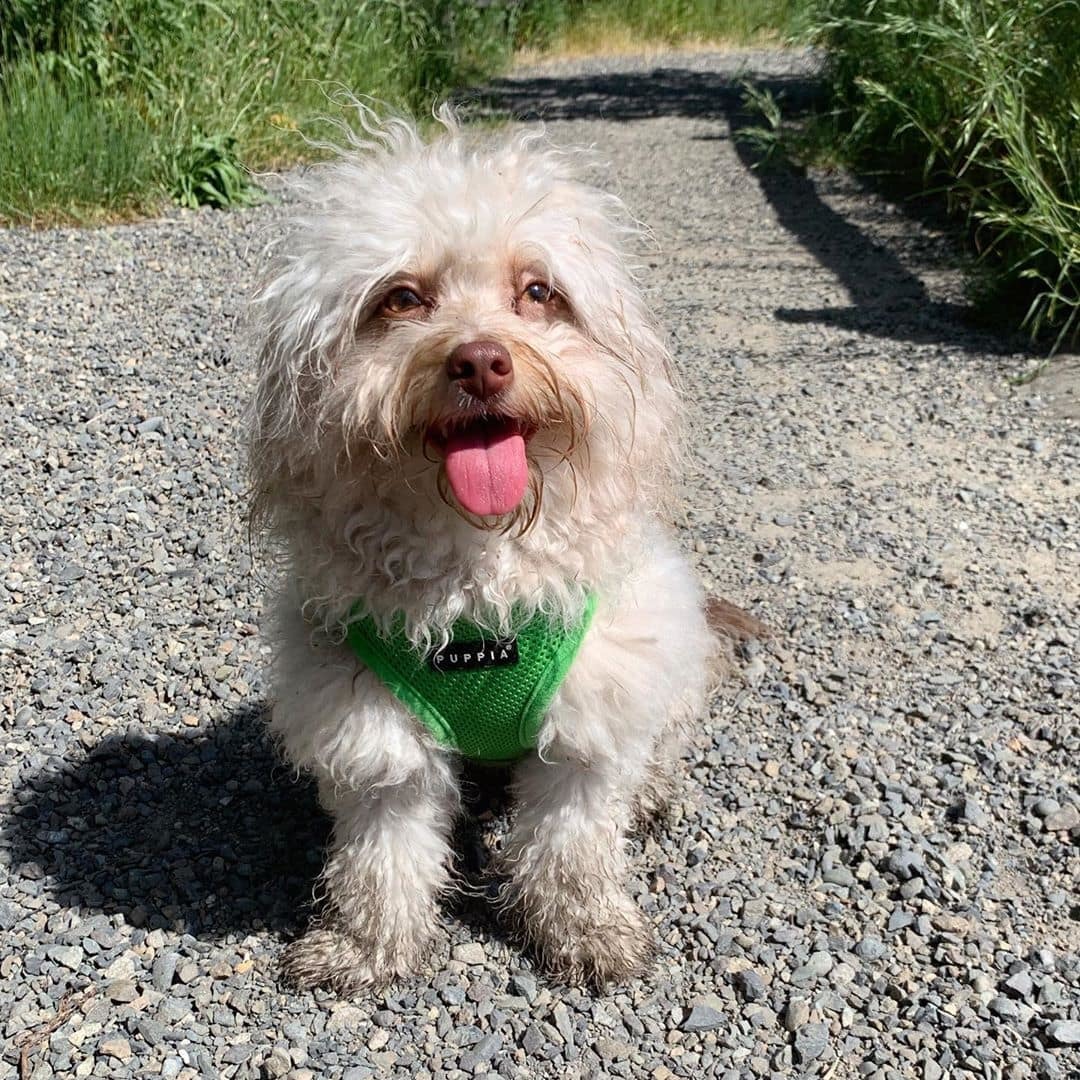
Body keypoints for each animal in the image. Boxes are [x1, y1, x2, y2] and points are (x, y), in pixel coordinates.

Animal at [247, 109, 717, 993]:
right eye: (401, 298)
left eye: (538, 292)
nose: (478, 360)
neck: (478, 586)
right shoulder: (371, 726)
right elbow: (384, 855)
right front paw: (365, 946)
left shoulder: (592, 715)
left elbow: (573, 844)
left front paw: (587, 933)